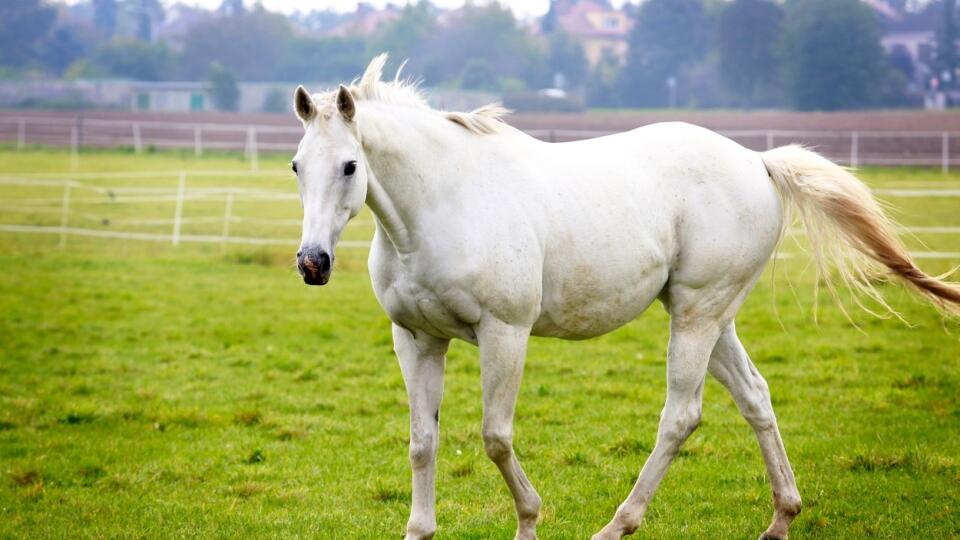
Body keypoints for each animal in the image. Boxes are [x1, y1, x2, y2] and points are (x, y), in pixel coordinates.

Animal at [286, 56, 960, 540]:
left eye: (350, 166)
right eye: (296, 165)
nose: (312, 264)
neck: (442, 204)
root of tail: (758, 161)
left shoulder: (504, 333)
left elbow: (495, 437)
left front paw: (529, 521)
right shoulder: (418, 339)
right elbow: (423, 441)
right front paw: (419, 530)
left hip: (696, 314)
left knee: (680, 417)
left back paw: (617, 525)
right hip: (714, 319)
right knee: (756, 398)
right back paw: (781, 519)